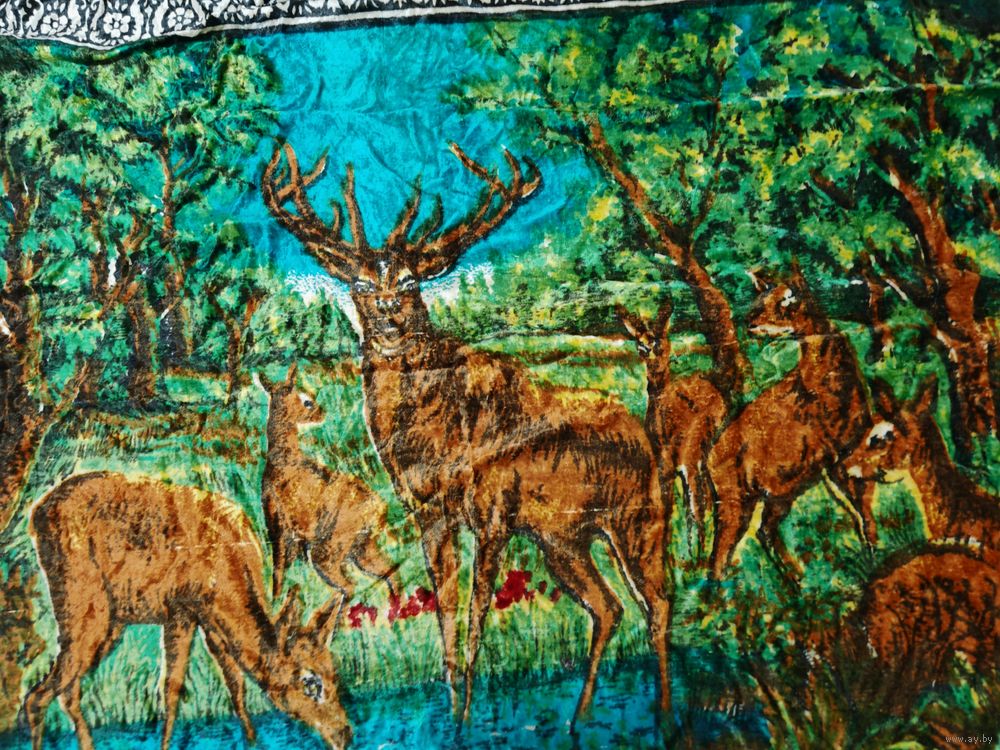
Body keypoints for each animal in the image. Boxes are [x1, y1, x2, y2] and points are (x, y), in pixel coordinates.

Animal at [23, 471, 353, 750]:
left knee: (67, 690)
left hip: (108, 622)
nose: (346, 734)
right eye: (310, 682)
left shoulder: (210, 621)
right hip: (83, 603)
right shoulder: (180, 610)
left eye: (334, 673)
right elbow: (172, 687)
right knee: (38, 695)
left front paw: (252, 741)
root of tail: (36, 514)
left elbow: (235, 683)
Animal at [258, 362, 400, 623]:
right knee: (389, 571)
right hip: (361, 548)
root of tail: (379, 510)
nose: (321, 412)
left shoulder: (281, 529)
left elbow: (279, 575)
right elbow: (281, 576)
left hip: (330, 551)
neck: (285, 463)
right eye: (306, 401)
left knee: (351, 585)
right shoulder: (286, 534)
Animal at [617, 297, 728, 560]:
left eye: (659, 342)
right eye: (639, 342)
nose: (646, 351)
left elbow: (689, 505)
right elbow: (667, 508)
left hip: (696, 455)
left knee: (700, 500)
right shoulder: (663, 466)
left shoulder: (681, 463)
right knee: (705, 497)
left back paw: (699, 555)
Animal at [708, 264, 873, 584]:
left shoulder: (840, 457)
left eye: (785, 302)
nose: (749, 323)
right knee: (722, 555)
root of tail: (708, 459)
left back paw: (797, 581)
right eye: (759, 300)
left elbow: (862, 514)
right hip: (741, 499)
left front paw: (874, 554)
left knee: (761, 532)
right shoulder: (829, 458)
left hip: (774, 495)